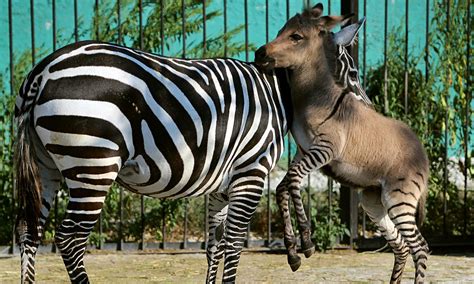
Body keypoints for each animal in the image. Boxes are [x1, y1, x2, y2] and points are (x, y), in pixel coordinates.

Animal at [14, 41, 290, 282]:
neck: (274, 93)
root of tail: (43, 70)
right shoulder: (251, 170)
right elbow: (233, 244)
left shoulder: (223, 185)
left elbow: (215, 245)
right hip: (93, 164)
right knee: (70, 239)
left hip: (44, 167)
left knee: (28, 230)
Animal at [256, 4, 430, 284]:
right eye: (280, 31)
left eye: (296, 37)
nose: (259, 53)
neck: (315, 95)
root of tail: (422, 152)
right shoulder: (303, 150)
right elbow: (282, 187)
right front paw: (293, 252)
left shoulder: (325, 148)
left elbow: (291, 182)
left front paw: (307, 242)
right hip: (374, 201)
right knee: (402, 246)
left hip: (400, 199)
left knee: (420, 247)